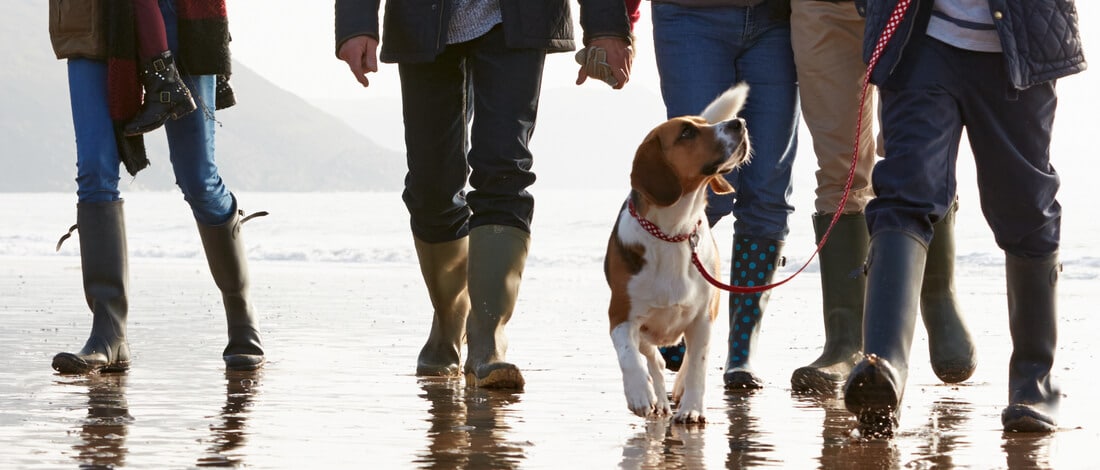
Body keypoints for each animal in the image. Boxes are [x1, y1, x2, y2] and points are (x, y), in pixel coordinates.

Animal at [602, 83, 748, 422]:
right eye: (686, 133)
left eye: (705, 123)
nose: (739, 123)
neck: (674, 232)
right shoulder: (620, 317)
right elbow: (630, 357)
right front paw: (640, 393)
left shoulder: (703, 319)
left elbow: (697, 365)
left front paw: (692, 407)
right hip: (644, 331)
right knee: (653, 359)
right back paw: (658, 398)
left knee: (686, 360)